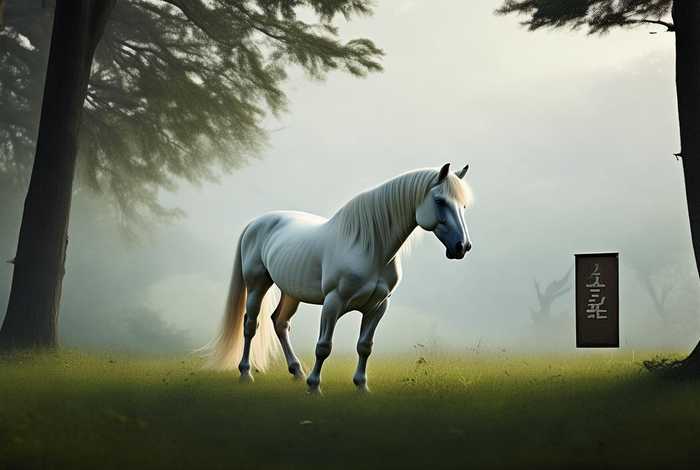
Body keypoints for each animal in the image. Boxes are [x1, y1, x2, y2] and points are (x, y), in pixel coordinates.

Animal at [206, 163, 473, 393]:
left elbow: (364, 346)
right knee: (250, 325)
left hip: (291, 292)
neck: (369, 248)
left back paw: (297, 371)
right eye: (439, 200)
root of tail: (255, 223)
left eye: (463, 206)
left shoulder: (378, 306)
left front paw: (361, 387)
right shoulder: (333, 302)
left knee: (280, 323)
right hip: (256, 286)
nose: (462, 247)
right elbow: (324, 346)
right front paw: (314, 387)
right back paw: (246, 373)